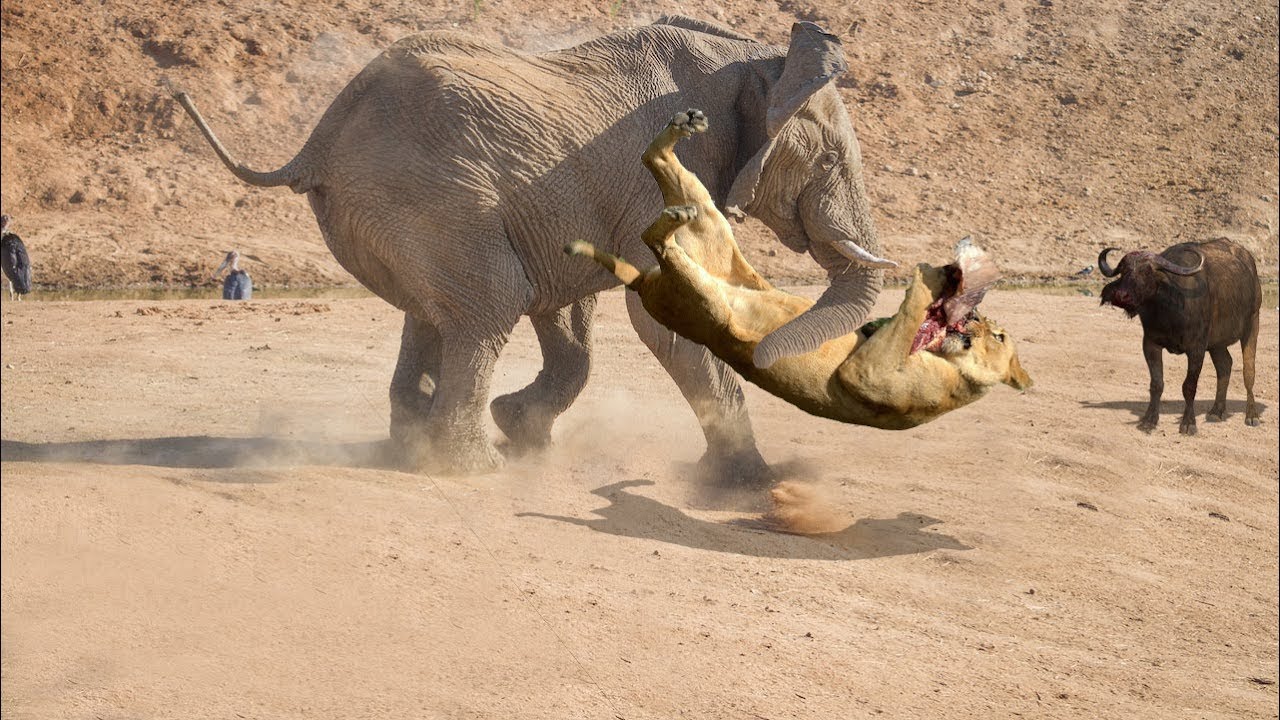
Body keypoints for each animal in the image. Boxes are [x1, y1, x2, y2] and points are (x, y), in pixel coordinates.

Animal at [170, 16, 894, 486]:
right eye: (830, 161)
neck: (757, 60)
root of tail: (318, 139)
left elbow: (570, 313)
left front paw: (524, 431)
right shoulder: (663, 176)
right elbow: (655, 311)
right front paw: (750, 485)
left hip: (398, 211)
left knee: (434, 315)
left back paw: (417, 450)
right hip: (432, 197)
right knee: (489, 306)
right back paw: (471, 470)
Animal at [566, 109, 1031, 430]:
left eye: (999, 336)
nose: (973, 316)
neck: (952, 364)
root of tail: (646, 286)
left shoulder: (863, 374)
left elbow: (904, 319)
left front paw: (927, 276)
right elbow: (897, 324)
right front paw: (939, 280)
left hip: (702, 298)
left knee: (655, 239)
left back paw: (672, 213)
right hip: (713, 234)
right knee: (654, 162)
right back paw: (683, 127)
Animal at [1099, 237, 1261, 435]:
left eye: (1146, 272)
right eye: (1123, 271)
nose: (1122, 296)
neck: (1169, 311)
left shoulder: (1196, 349)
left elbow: (1189, 386)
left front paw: (1188, 423)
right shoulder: (1150, 344)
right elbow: (1157, 384)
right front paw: (1149, 420)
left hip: (1252, 323)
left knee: (1248, 371)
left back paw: (1251, 415)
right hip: (1217, 343)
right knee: (1225, 366)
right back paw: (1216, 411)